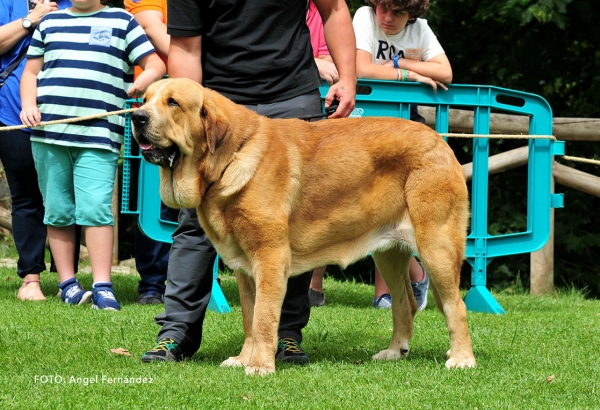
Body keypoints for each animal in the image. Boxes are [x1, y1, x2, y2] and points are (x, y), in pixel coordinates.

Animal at [132, 77, 478, 374]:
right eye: (145, 99)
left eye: (173, 102)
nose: (137, 116)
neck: (232, 155)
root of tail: (440, 141)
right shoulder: (245, 267)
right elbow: (248, 317)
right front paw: (244, 359)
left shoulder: (270, 258)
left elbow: (263, 318)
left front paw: (259, 366)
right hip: (389, 255)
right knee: (405, 303)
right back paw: (395, 352)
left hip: (436, 247)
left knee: (456, 306)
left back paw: (462, 358)